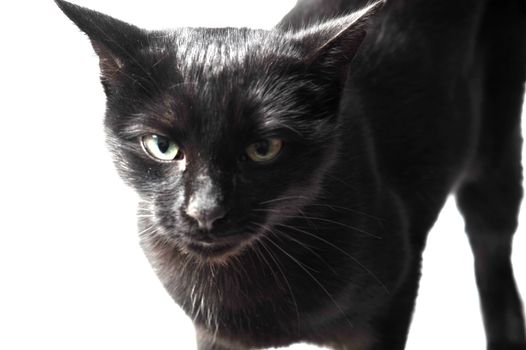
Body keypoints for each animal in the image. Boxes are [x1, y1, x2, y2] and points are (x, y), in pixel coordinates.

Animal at [55, 0, 524, 348]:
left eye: (263, 149)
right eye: (162, 146)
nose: (205, 211)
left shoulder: (391, 302)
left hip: (496, 152)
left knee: (492, 249)